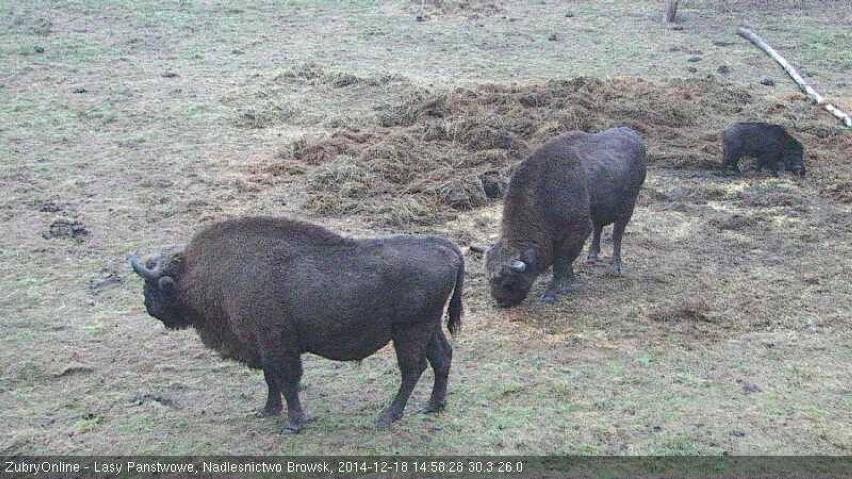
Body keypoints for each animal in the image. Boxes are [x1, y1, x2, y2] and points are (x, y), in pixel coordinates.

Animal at [126, 218, 462, 436]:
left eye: (152, 286)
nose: (147, 306)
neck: (201, 273)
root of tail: (444, 246)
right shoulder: (263, 344)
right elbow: (271, 378)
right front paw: (267, 411)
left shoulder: (277, 343)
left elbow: (287, 380)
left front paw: (293, 423)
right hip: (428, 327)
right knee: (441, 357)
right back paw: (433, 407)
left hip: (410, 331)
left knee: (413, 368)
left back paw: (387, 417)